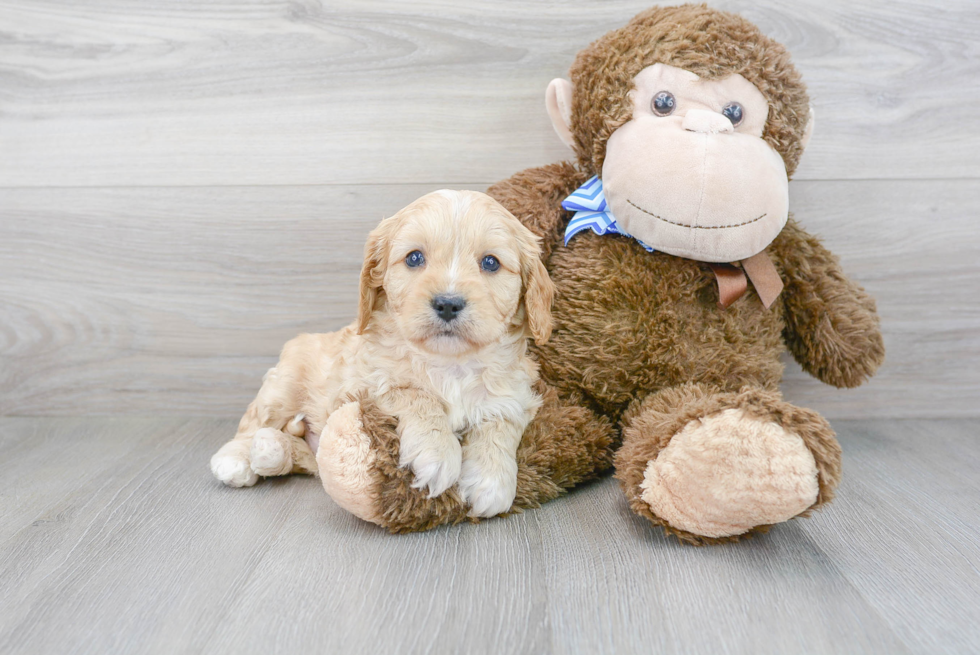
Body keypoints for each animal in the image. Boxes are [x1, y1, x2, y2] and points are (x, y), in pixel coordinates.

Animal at [210, 188, 556, 516]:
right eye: (414, 258)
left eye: (490, 262)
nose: (447, 303)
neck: (449, 363)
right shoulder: (361, 386)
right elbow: (416, 394)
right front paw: (437, 452)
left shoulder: (517, 395)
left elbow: (500, 421)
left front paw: (491, 479)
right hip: (284, 385)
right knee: (254, 421)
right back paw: (236, 458)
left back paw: (271, 450)